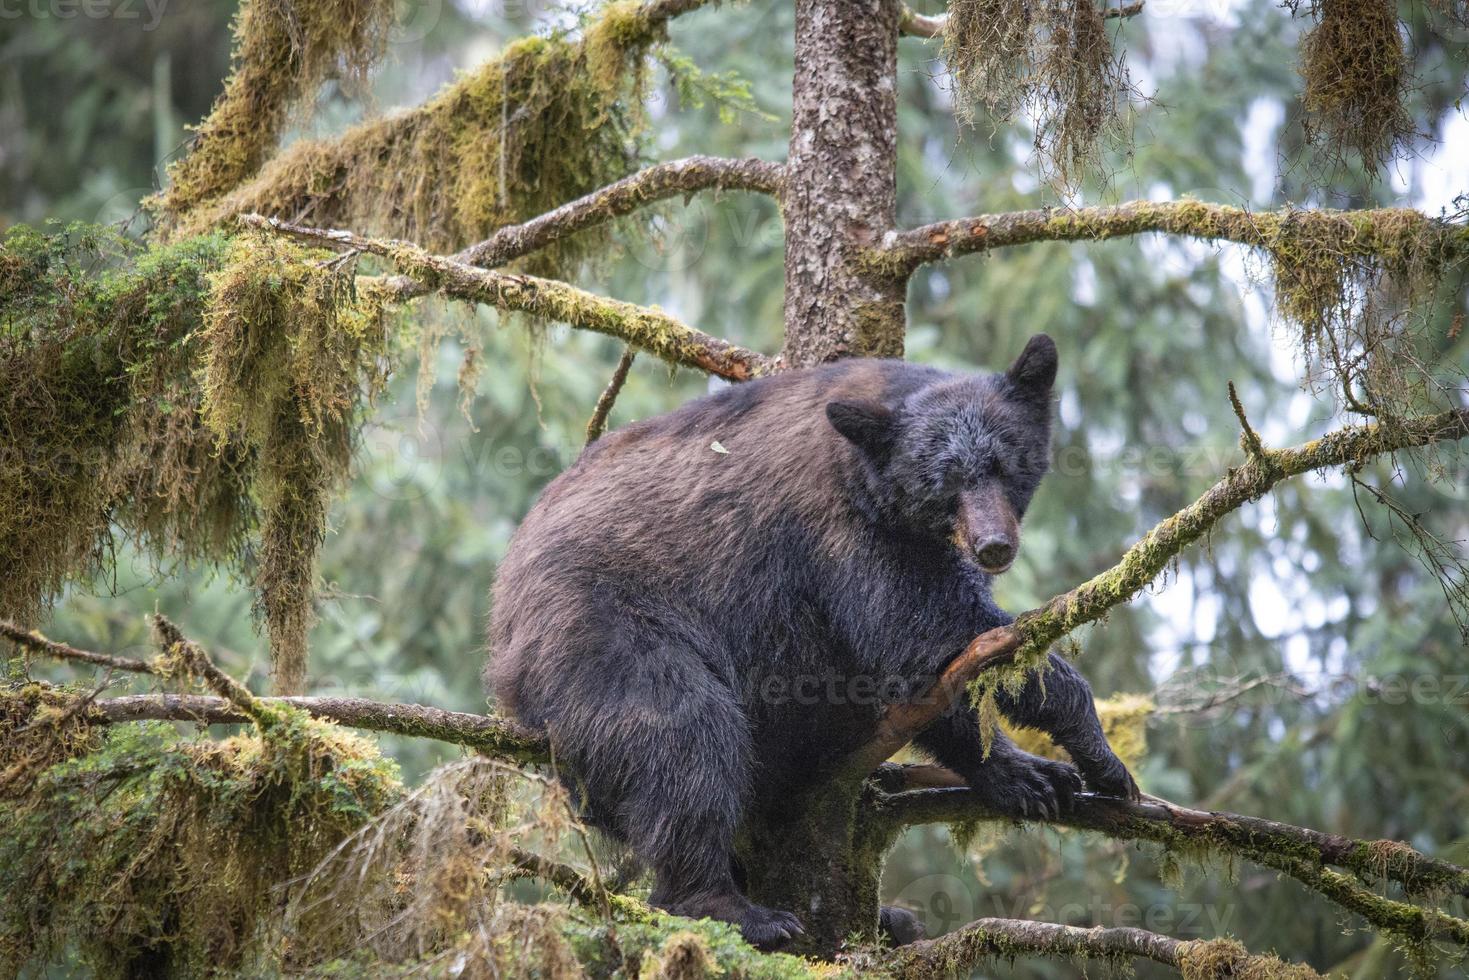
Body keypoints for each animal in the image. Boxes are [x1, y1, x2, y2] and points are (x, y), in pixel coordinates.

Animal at [487, 337, 1139, 952]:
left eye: (1004, 464)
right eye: (945, 481)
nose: (993, 546)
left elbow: (932, 677)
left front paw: (1027, 774)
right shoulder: (841, 535)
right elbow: (928, 632)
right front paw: (1100, 756)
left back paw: (886, 916)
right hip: (605, 629)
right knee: (682, 739)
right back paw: (733, 906)